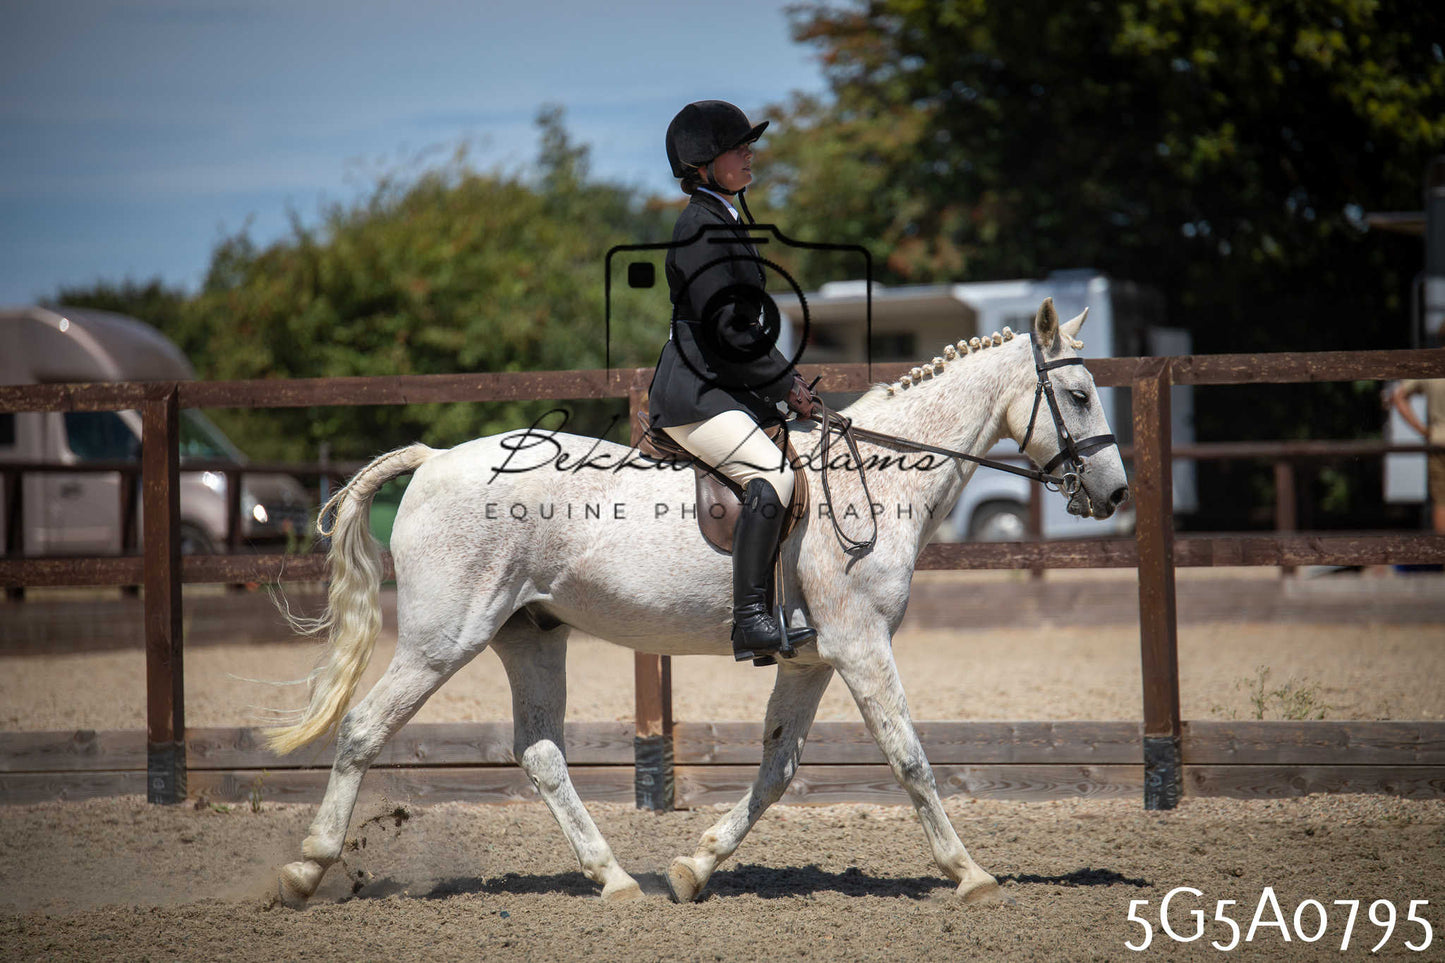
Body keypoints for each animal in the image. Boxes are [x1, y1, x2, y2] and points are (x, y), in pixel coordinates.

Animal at [268, 297, 1130, 907]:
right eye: (1078, 394)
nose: (1116, 492)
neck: (879, 481)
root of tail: (434, 456)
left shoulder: (813, 658)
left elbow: (778, 767)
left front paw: (692, 866)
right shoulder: (861, 644)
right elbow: (908, 754)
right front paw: (971, 873)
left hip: (530, 633)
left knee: (541, 753)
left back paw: (615, 879)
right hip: (443, 638)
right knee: (363, 726)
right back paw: (305, 871)